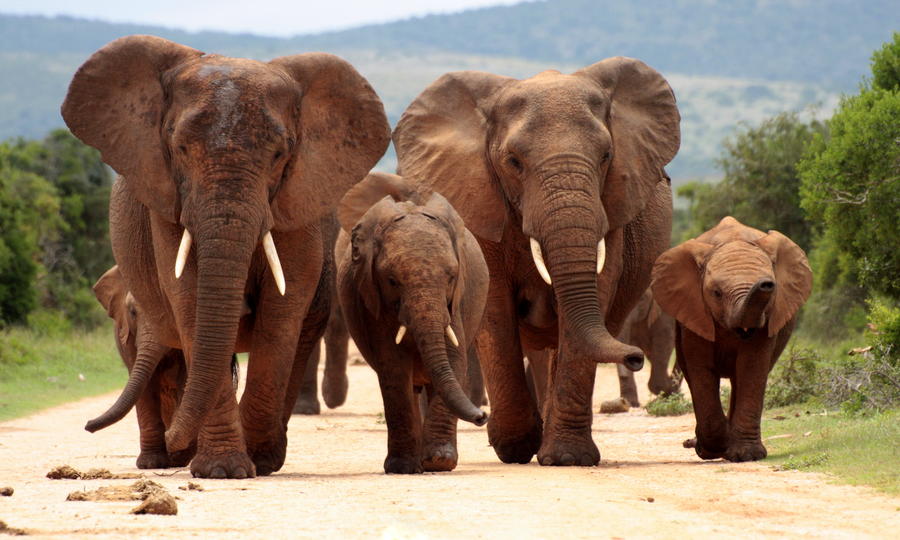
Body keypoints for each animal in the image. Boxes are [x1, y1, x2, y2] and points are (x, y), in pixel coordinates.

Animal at [62, 35, 390, 478]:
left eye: (280, 154)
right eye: (180, 147)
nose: (86, 426)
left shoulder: (297, 202)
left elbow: (282, 311)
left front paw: (255, 460)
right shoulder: (167, 200)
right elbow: (189, 300)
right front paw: (222, 470)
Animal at [336, 172, 489, 473]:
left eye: (451, 277)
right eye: (392, 281)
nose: (482, 415)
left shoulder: (457, 300)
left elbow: (454, 357)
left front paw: (439, 462)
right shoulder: (371, 299)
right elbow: (393, 366)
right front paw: (403, 467)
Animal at [393, 57, 680, 466]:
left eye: (606, 156)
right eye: (513, 161)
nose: (635, 357)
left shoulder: (612, 211)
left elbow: (594, 294)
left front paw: (566, 458)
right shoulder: (479, 200)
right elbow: (495, 306)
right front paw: (514, 447)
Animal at [650, 216, 812, 462]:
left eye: (772, 289)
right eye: (717, 293)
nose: (766, 283)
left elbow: (752, 367)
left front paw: (746, 455)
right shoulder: (695, 310)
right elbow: (701, 369)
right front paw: (711, 450)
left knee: (739, 378)